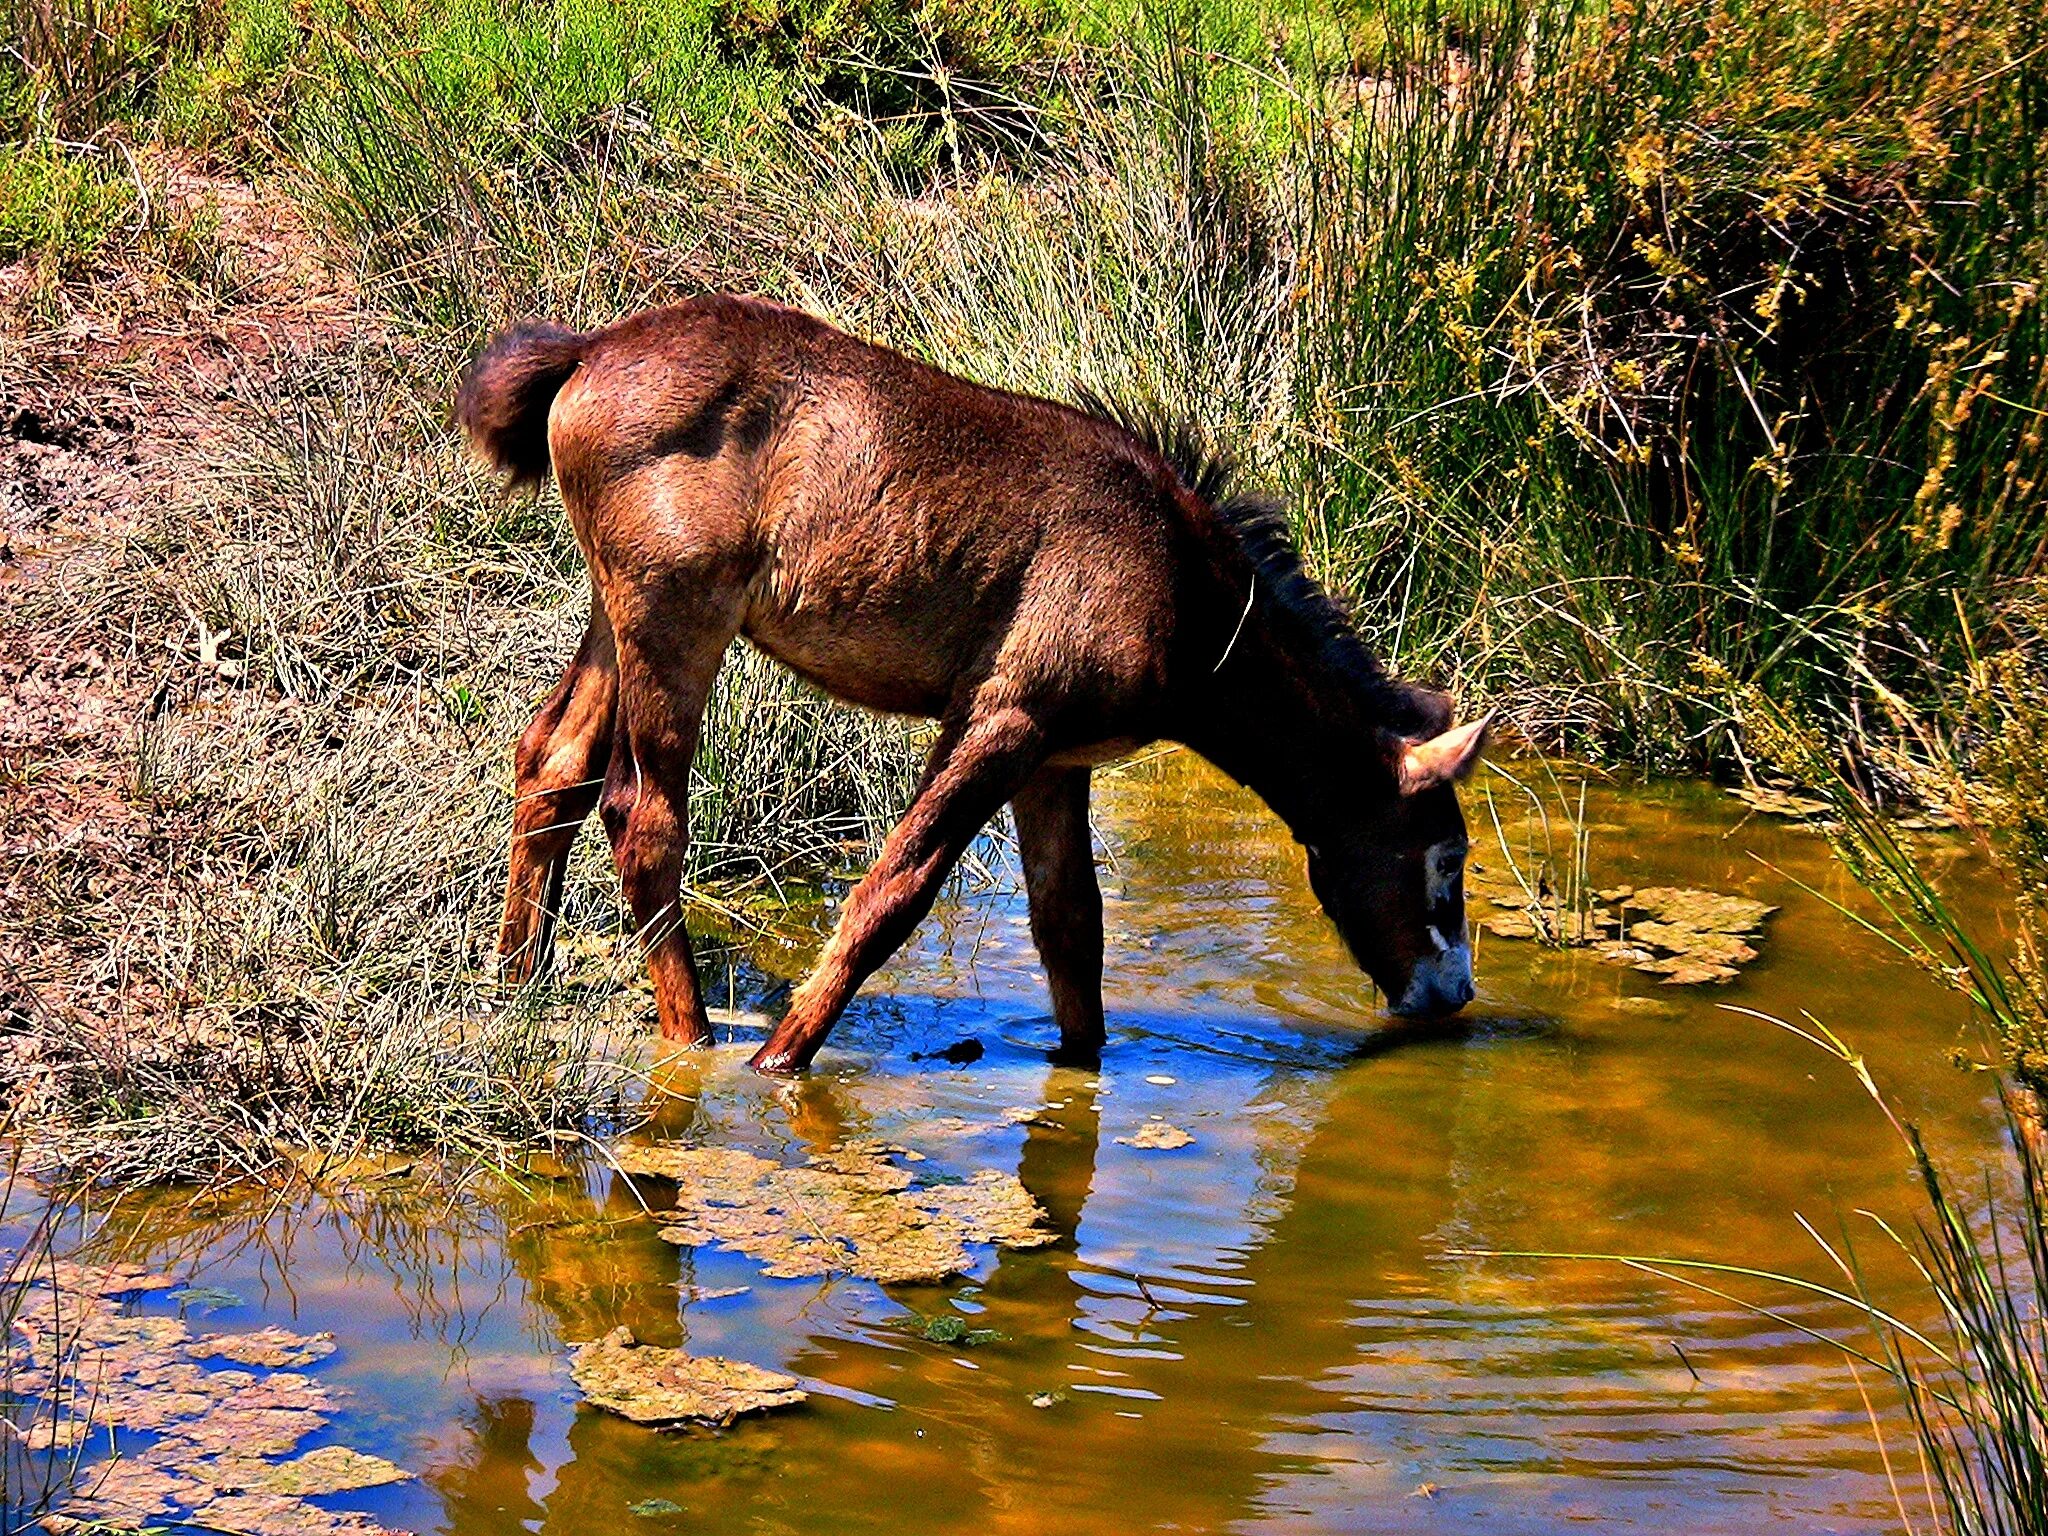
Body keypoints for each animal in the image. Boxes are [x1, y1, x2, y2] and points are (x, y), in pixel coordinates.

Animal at [460, 294, 1490, 1073]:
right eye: (1447, 858)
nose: (1453, 993)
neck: (1191, 594)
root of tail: (589, 352)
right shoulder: (1005, 718)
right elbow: (894, 892)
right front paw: (781, 1059)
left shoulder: (1057, 761)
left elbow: (1072, 928)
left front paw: (1082, 1072)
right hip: (676, 619)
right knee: (644, 816)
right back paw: (693, 1037)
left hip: (619, 612)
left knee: (552, 762)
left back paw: (517, 981)